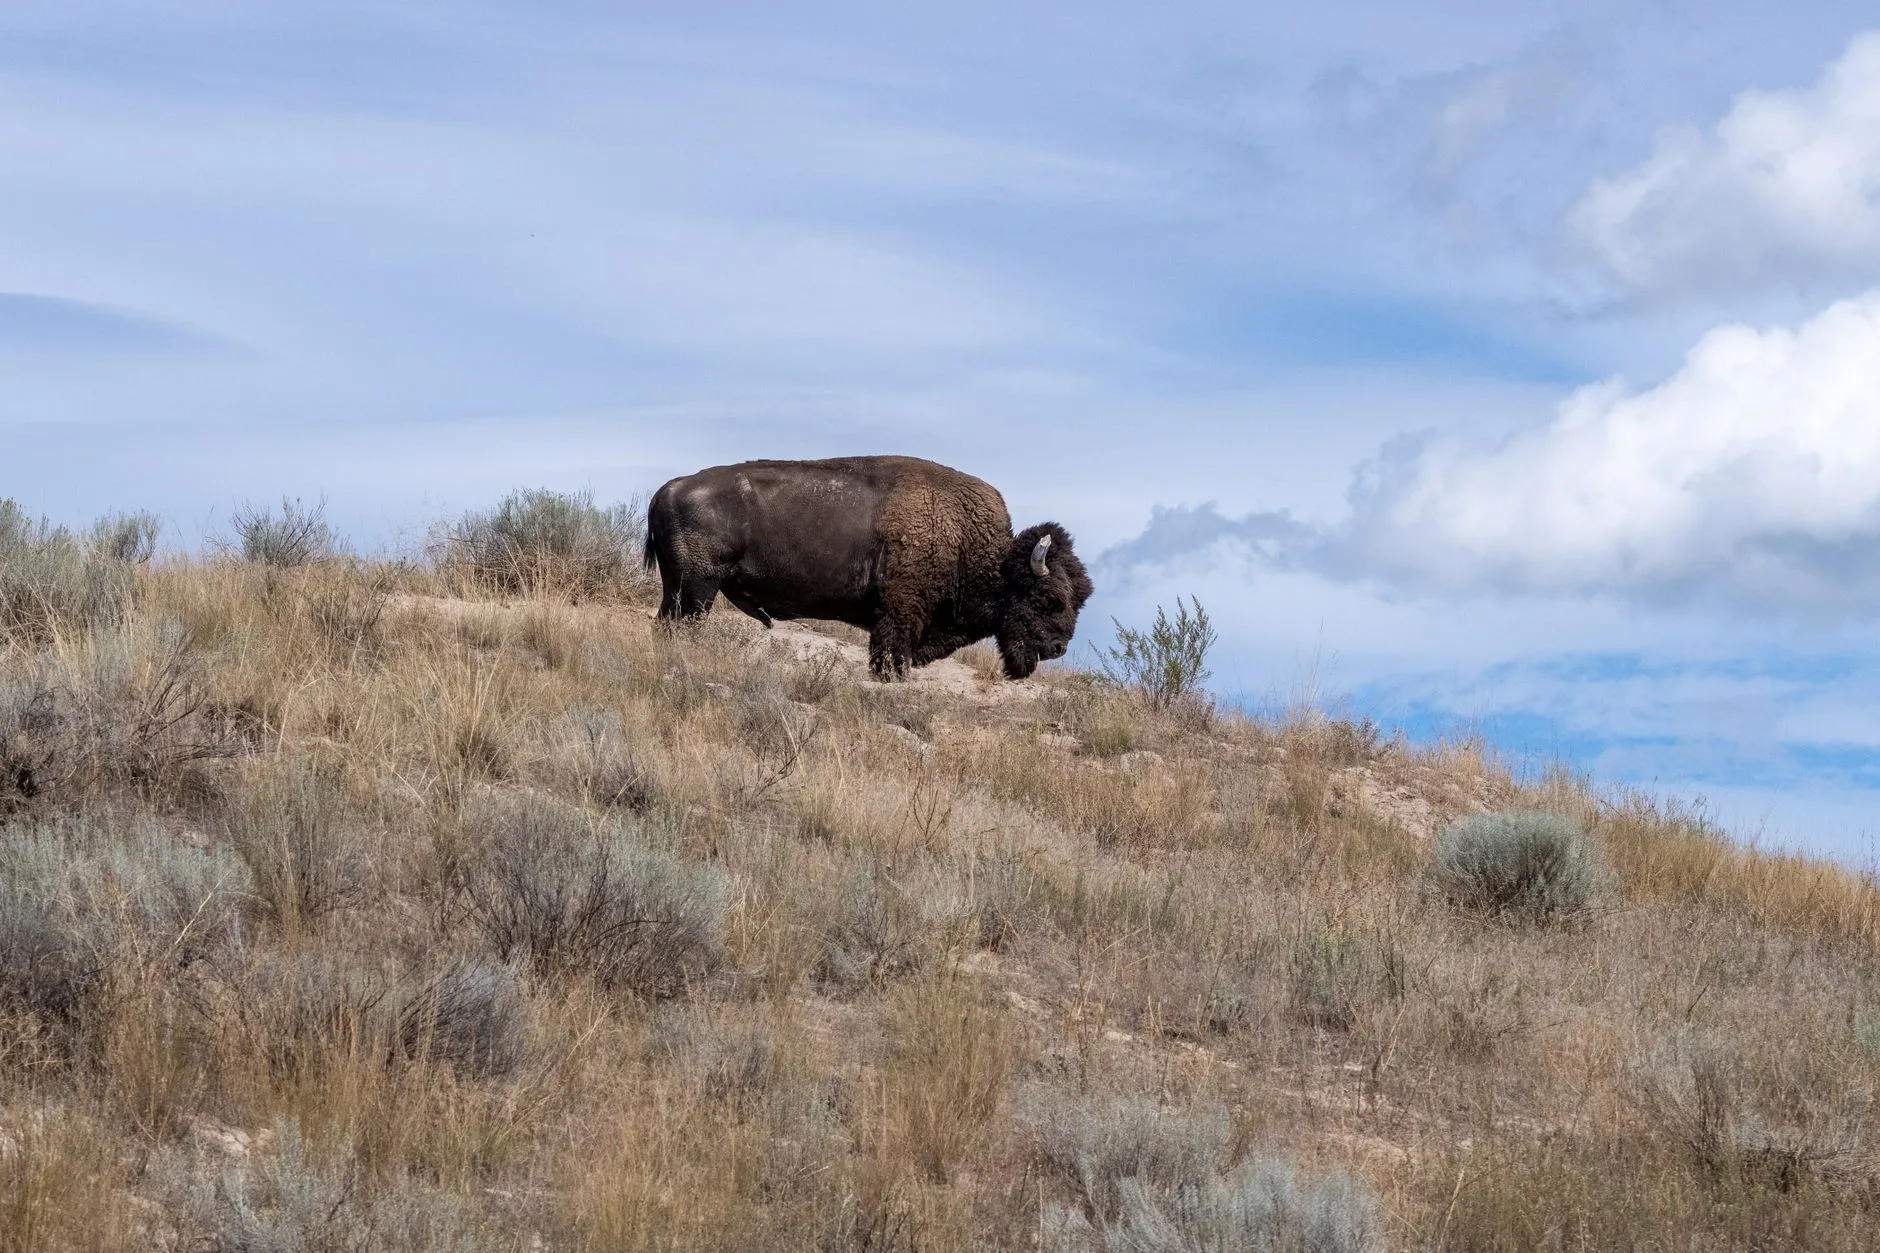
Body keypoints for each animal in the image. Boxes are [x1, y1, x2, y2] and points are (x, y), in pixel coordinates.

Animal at [643, 456, 1092, 679]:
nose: (1058, 647)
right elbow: (890, 659)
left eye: (1080, 600)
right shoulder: (899, 617)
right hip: (696, 589)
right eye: (1049, 598)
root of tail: (667, 489)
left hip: (679, 590)